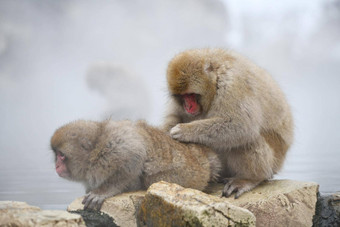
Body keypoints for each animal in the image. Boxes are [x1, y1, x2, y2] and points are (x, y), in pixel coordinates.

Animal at [50, 119, 220, 210]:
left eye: (62, 156)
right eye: (56, 155)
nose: (56, 166)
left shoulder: (116, 145)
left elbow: (135, 156)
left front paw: (103, 191)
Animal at [163, 48, 294, 199]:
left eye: (191, 95)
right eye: (182, 96)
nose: (188, 106)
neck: (215, 80)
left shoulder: (232, 84)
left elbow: (241, 125)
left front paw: (184, 130)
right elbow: (174, 116)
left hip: (272, 163)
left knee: (248, 140)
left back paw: (249, 179)